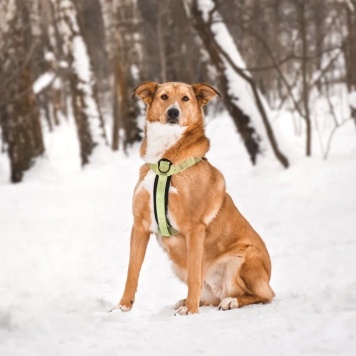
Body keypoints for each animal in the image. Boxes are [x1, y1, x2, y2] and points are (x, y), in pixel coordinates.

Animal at [112, 82, 274, 314]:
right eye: (164, 96)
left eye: (185, 98)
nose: (173, 112)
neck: (164, 163)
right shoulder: (140, 226)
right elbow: (132, 273)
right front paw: (123, 306)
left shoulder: (194, 229)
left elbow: (194, 276)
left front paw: (190, 311)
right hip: (179, 265)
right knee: (212, 296)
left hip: (244, 257)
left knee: (263, 295)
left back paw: (230, 301)